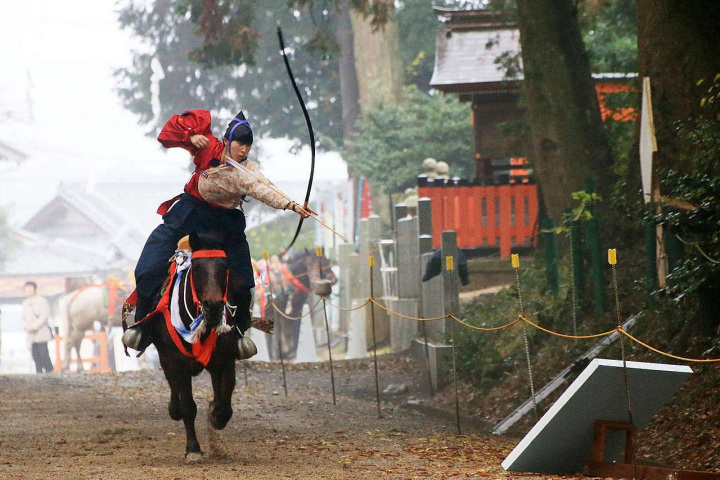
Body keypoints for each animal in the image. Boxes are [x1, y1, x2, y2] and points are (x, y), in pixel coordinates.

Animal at [140, 232, 246, 462]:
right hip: (166, 359)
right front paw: (193, 449)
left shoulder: (226, 360)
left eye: (225, 267)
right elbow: (188, 406)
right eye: (197, 268)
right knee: (173, 388)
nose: (213, 306)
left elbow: (225, 403)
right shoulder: (178, 364)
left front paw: (215, 415)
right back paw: (174, 409)